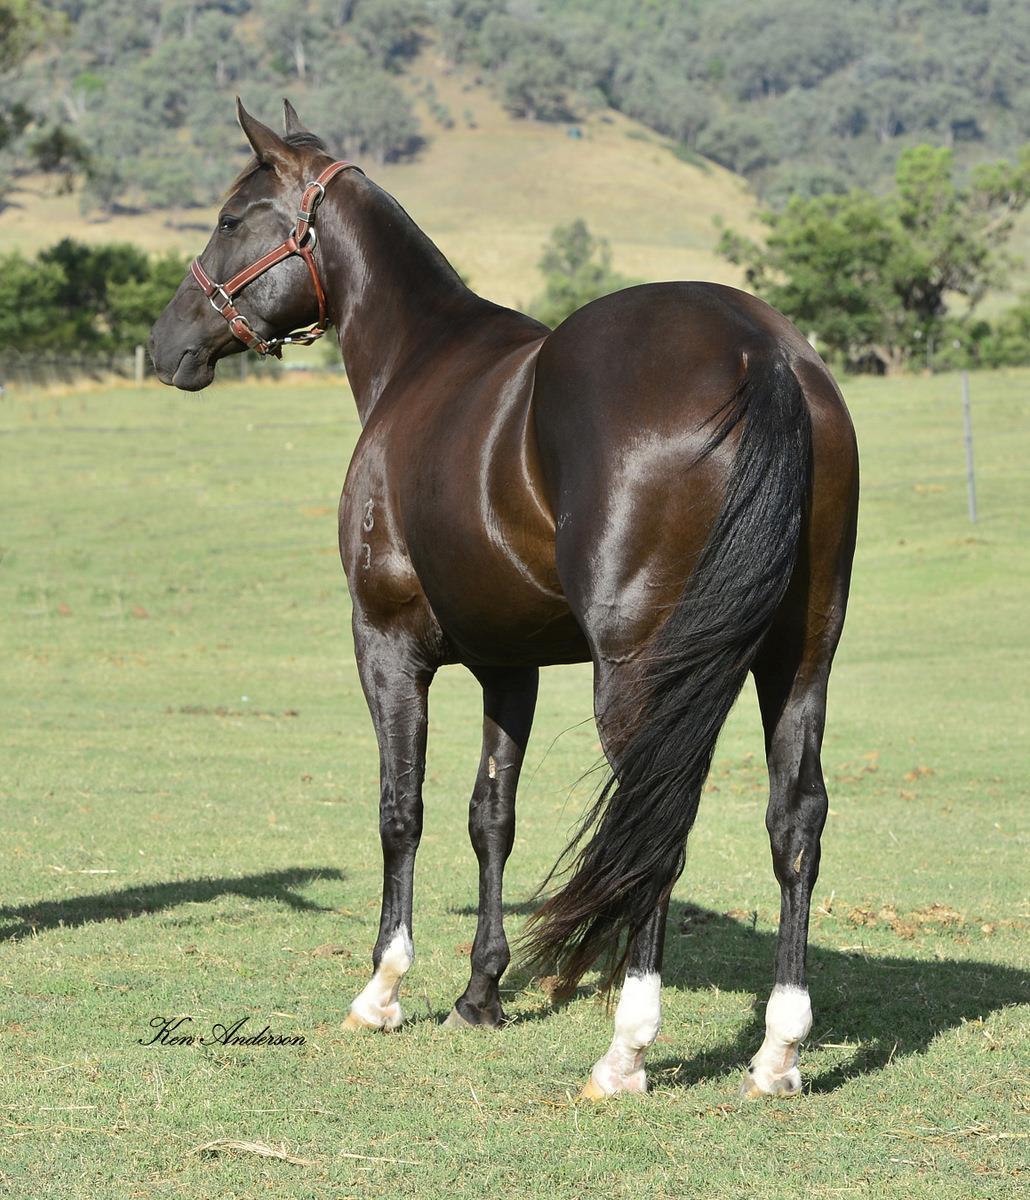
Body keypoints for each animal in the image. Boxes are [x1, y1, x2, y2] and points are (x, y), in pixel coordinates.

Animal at [150, 99, 859, 1100]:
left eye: (229, 217)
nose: (165, 344)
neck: (420, 362)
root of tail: (761, 350)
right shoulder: (507, 662)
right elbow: (493, 819)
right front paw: (480, 993)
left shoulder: (386, 645)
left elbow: (400, 810)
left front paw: (383, 990)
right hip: (798, 662)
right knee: (794, 822)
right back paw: (778, 1051)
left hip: (644, 679)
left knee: (657, 823)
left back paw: (626, 1051)